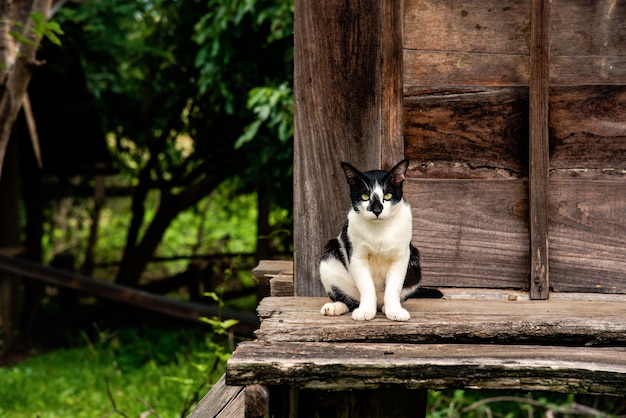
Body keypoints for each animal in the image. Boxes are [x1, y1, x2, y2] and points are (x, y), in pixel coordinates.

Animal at [320, 158, 442, 322]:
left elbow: (394, 287)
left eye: (388, 195)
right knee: (348, 300)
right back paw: (335, 307)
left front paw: (394, 311)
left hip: (415, 265)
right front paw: (365, 310)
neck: (380, 230)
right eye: (365, 197)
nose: (377, 210)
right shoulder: (357, 255)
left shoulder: (401, 256)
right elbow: (366, 286)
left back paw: (385, 307)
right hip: (328, 257)